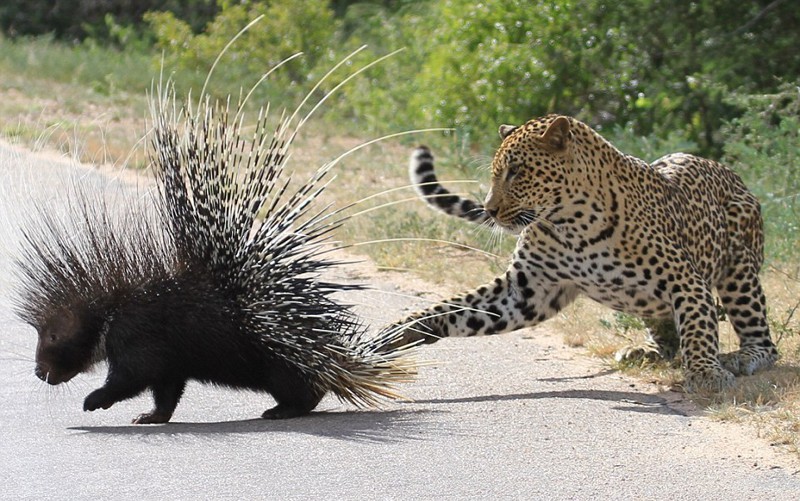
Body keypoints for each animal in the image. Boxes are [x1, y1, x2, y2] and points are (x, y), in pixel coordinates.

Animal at [388, 115, 776, 392]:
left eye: (516, 171)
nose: (490, 209)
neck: (570, 223)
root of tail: (731, 174)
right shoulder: (527, 289)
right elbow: (455, 309)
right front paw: (401, 331)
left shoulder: (685, 280)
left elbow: (698, 327)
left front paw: (706, 373)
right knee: (664, 325)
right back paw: (647, 351)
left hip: (739, 269)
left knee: (765, 341)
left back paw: (744, 356)